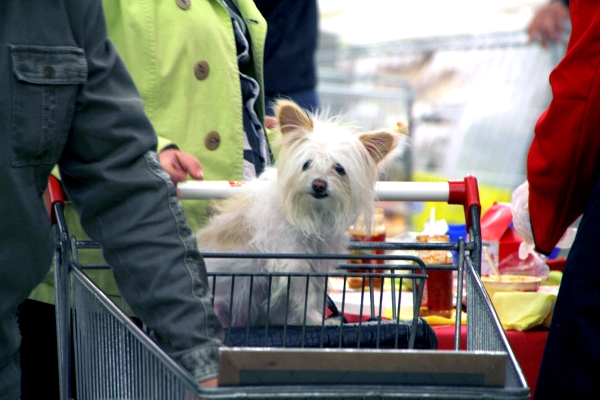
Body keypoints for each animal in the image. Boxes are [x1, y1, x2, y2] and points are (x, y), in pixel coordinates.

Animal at [199, 98, 400, 326]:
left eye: (340, 169)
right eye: (307, 164)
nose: (319, 184)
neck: (311, 213)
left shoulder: (317, 266)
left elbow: (315, 294)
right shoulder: (294, 264)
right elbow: (303, 299)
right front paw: (317, 321)